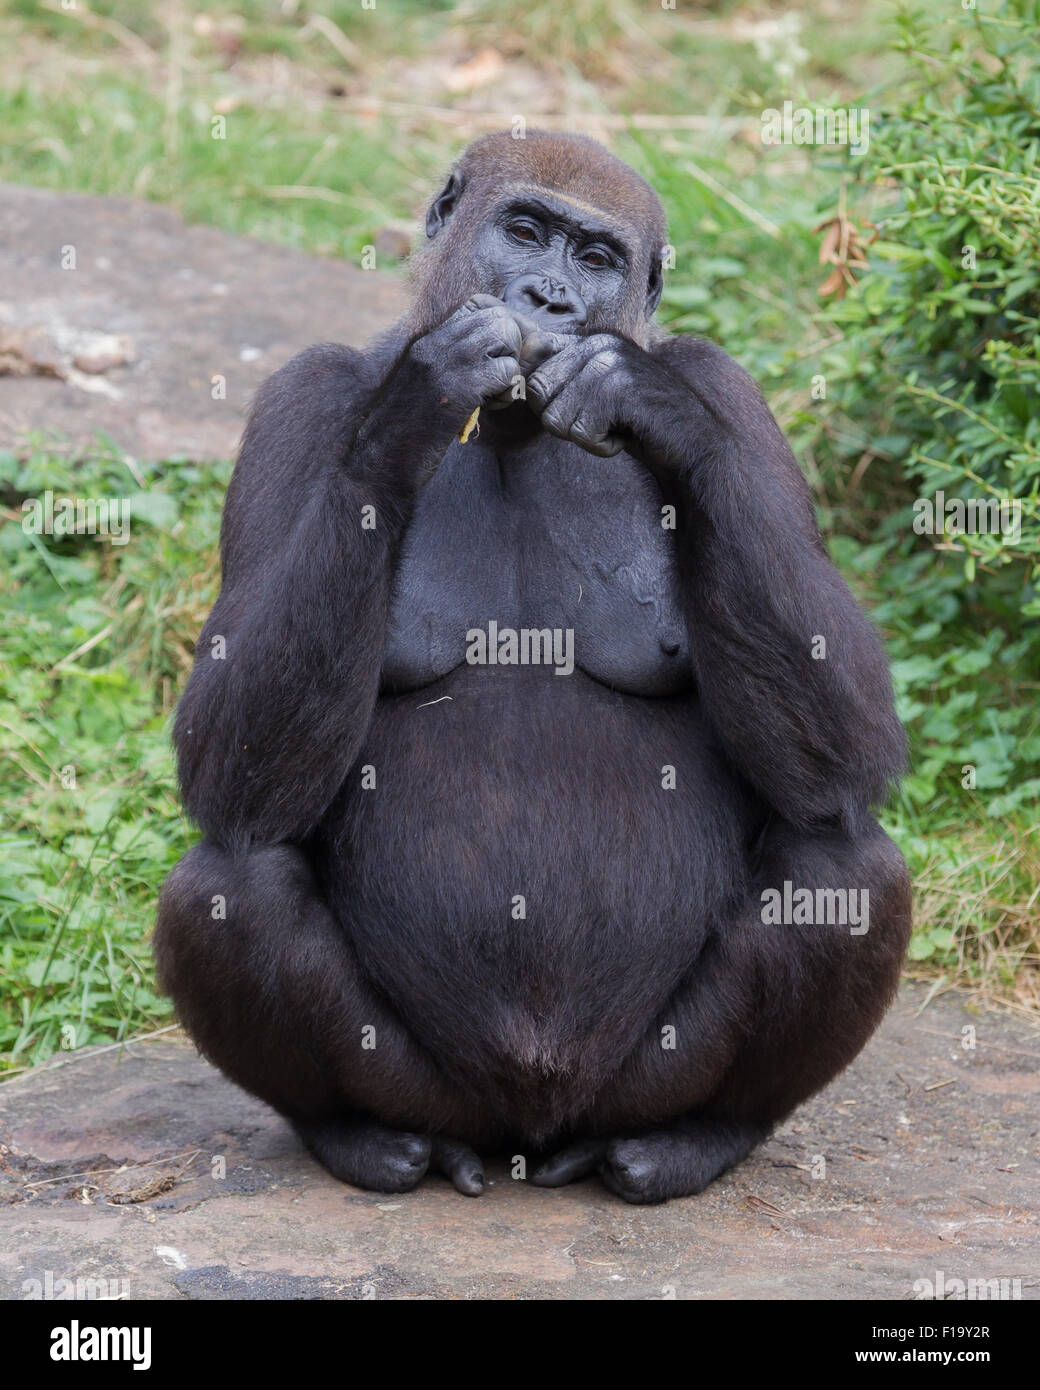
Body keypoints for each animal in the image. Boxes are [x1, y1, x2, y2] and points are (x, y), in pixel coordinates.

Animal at [154, 132, 912, 1206]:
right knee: (236, 875)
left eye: (594, 259)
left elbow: (846, 745)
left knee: (838, 860)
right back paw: (357, 1134)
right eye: (523, 232)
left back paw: (701, 1136)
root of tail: (534, 1132)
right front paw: (415, 404)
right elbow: (230, 763)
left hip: (634, 1081)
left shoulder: (729, 387)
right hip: (438, 1093)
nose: (548, 300)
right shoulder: (296, 396)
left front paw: (653, 405)